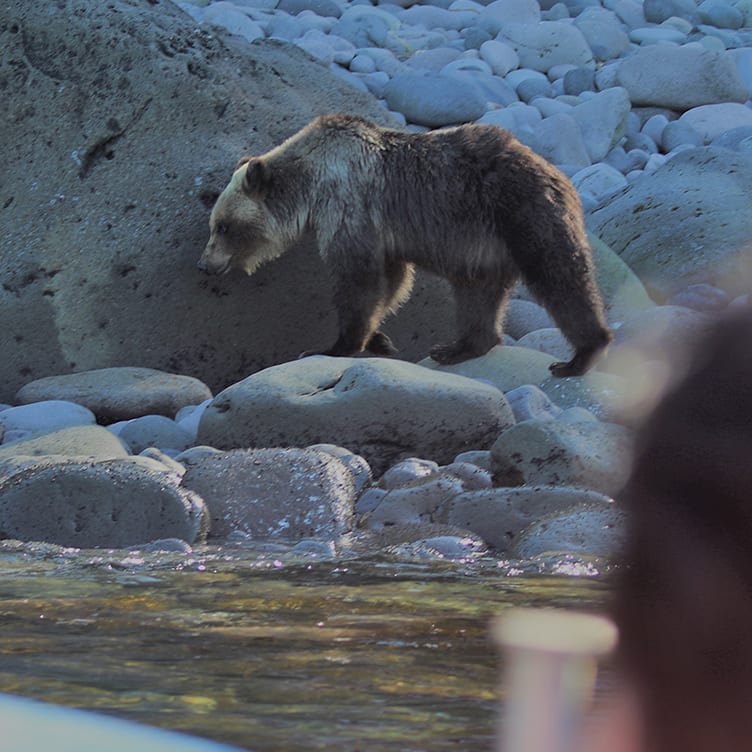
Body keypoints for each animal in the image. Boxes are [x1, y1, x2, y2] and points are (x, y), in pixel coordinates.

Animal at [200, 114, 612, 376]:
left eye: (223, 225)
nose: (204, 264)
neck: (310, 185)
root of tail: (559, 174)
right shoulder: (383, 235)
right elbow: (392, 283)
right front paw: (379, 338)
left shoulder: (349, 205)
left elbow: (359, 280)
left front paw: (332, 345)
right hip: (486, 247)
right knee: (478, 293)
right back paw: (458, 347)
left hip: (524, 216)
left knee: (560, 279)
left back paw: (579, 356)